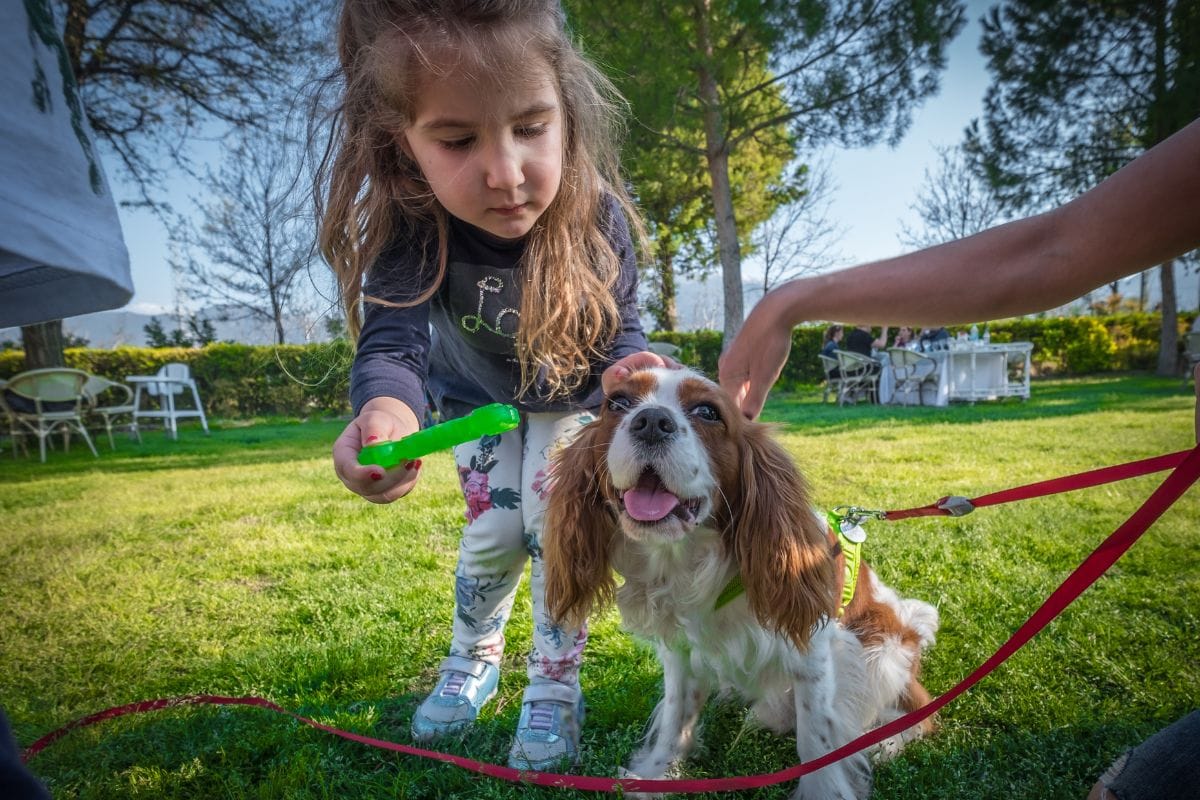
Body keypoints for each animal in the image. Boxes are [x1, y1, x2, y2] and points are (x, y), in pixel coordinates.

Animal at [544, 369, 936, 800]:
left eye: (707, 412)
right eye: (617, 404)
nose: (650, 421)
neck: (690, 559)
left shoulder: (813, 651)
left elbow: (817, 739)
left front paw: (825, 790)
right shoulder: (681, 651)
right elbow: (675, 716)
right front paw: (657, 775)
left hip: (881, 652)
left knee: (918, 713)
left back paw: (886, 742)